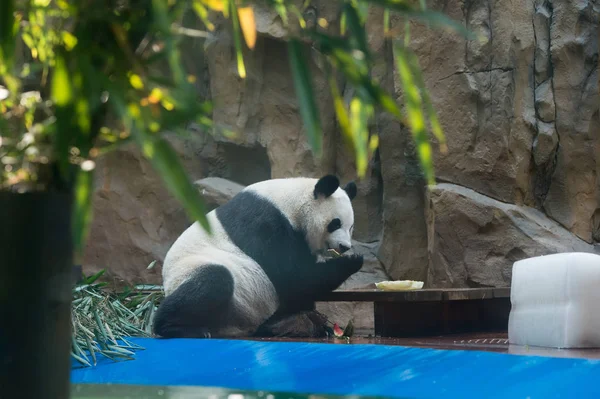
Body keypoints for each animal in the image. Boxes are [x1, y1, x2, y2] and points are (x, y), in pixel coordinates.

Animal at [152, 173, 364, 340]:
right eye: (335, 223)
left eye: (351, 226)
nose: (344, 247)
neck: (291, 201)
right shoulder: (263, 222)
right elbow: (293, 277)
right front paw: (352, 261)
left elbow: (302, 287)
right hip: (191, 271)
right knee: (213, 281)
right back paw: (181, 328)